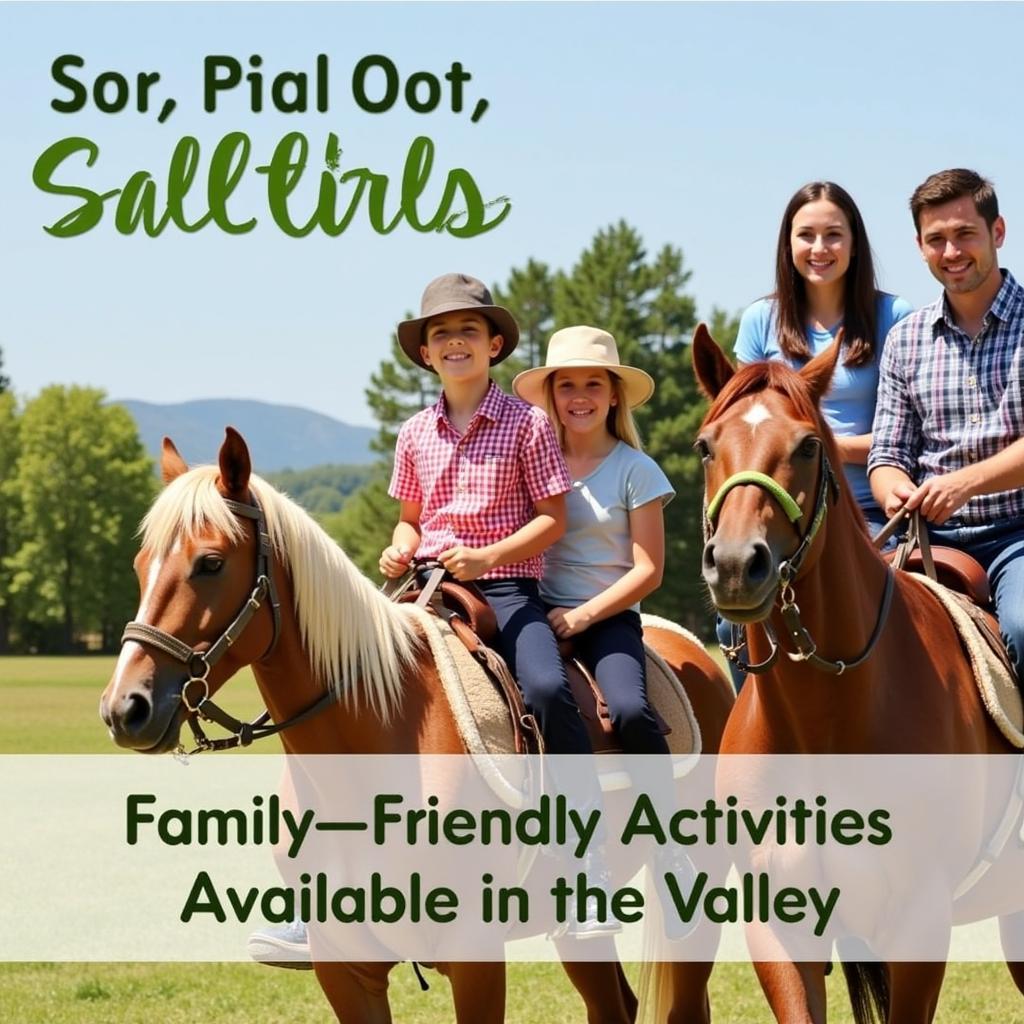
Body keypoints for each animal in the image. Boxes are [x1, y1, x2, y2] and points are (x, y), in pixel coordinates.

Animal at [688, 325, 1024, 1024]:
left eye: (808, 446)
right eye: (706, 446)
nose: (734, 566)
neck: (825, 721)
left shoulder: (920, 927)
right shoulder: (779, 931)